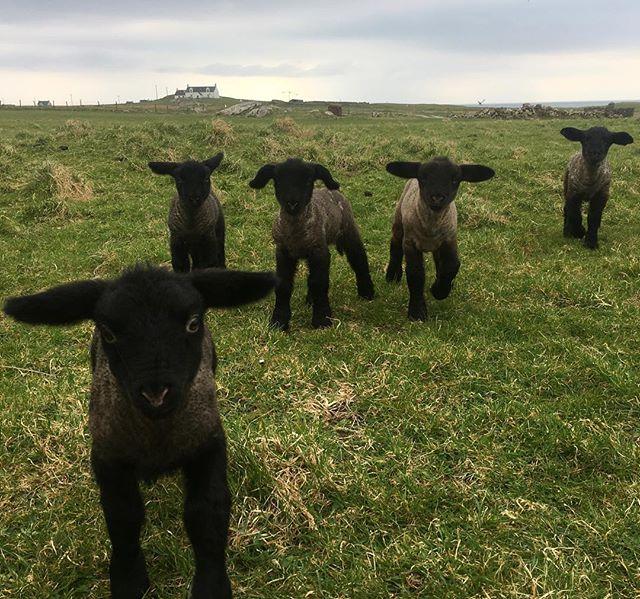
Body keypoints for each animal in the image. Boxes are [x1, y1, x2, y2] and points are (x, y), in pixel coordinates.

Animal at [3, 265, 277, 599]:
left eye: (193, 323)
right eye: (108, 332)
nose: (156, 392)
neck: (156, 433)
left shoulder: (208, 445)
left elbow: (206, 513)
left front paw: (212, 586)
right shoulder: (108, 456)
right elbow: (123, 515)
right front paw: (129, 581)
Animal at [249, 158, 375, 330]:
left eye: (308, 180)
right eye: (278, 180)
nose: (292, 203)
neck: (295, 231)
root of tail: (332, 191)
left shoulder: (319, 252)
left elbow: (319, 283)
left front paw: (322, 320)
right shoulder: (283, 253)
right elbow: (284, 285)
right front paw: (279, 321)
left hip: (349, 231)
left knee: (359, 259)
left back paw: (367, 292)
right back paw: (310, 300)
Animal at [385, 157, 495, 321]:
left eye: (455, 180)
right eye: (423, 178)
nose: (437, 198)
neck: (431, 228)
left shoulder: (449, 240)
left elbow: (452, 265)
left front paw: (439, 290)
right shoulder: (410, 243)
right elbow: (415, 273)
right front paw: (417, 312)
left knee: (439, 262)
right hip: (399, 221)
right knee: (395, 246)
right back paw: (392, 275)